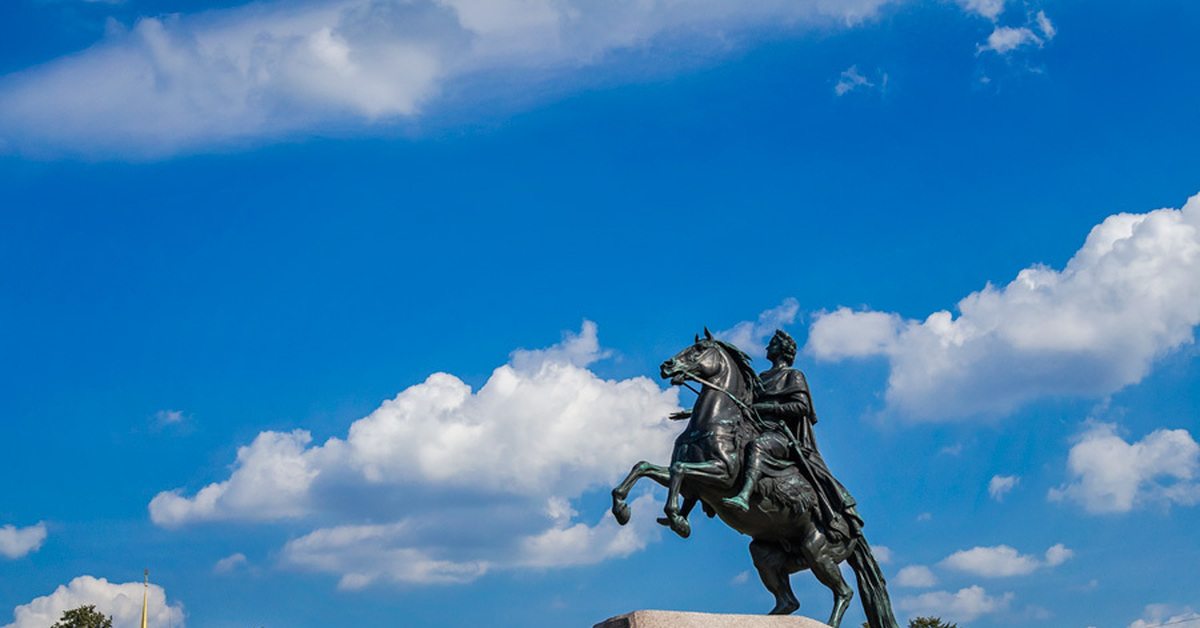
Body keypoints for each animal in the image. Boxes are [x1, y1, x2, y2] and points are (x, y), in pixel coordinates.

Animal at [614, 331, 897, 624]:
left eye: (700, 348)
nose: (666, 365)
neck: (716, 422)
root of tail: (854, 528)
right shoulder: (692, 482)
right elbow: (644, 467)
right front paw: (623, 509)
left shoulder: (722, 475)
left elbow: (679, 469)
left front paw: (678, 520)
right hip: (766, 554)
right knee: (789, 602)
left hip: (817, 551)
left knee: (844, 592)